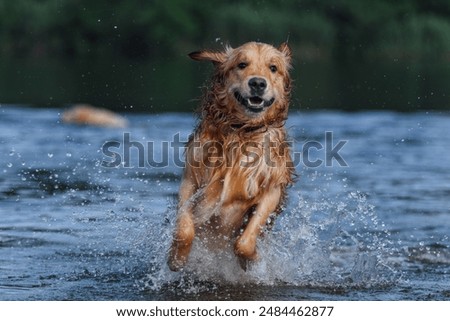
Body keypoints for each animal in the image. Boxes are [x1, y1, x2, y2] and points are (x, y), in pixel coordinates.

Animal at [169, 42, 296, 270]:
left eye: (273, 68)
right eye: (242, 64)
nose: (257, 83)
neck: (241, 132)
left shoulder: (272, 189)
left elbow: (245, 241)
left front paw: (253, 259)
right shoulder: (190, 180)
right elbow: (185, 227)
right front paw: (176, 259)